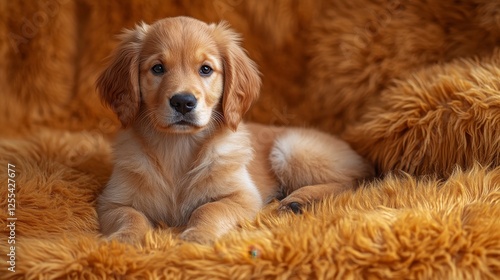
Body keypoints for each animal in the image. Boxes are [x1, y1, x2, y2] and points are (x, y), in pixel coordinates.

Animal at [95, 16, 374, 244]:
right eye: (157, 68)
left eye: (206, 69)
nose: (183, 102)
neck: (178, 148)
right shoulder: (111, 202)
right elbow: (130, 216)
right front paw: (124, 239)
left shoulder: (242, 196)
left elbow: (208, 209)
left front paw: (199, 235)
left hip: (291, 148)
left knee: (356, 182)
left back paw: (300, 199)